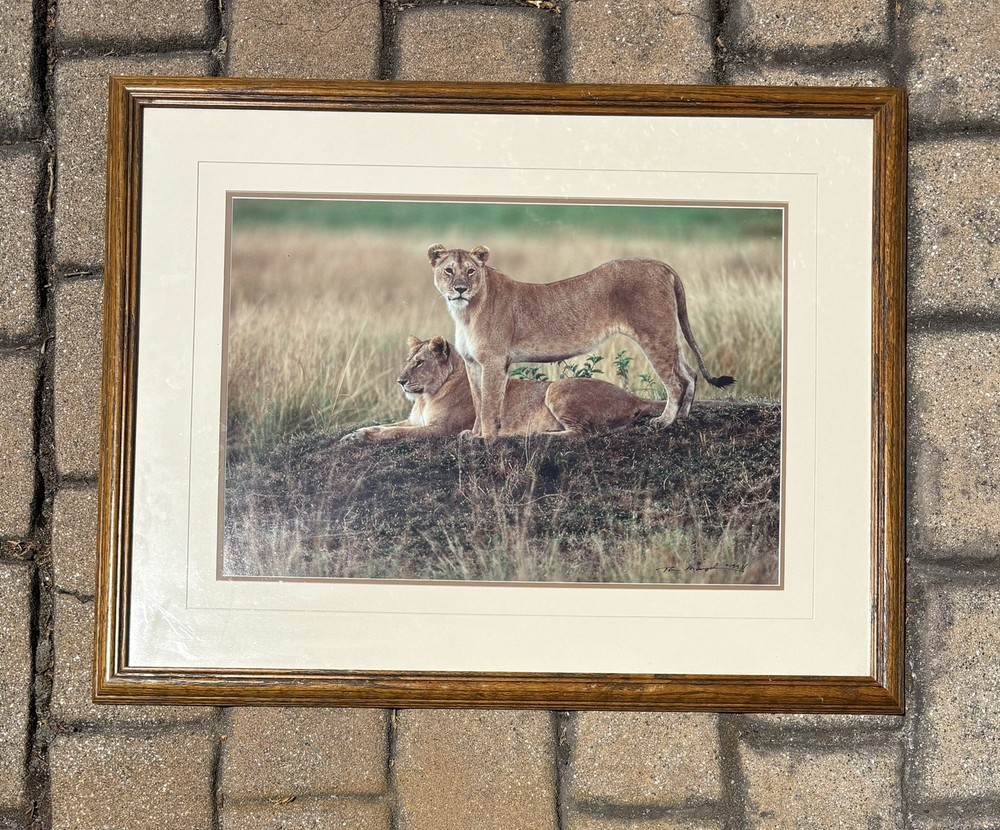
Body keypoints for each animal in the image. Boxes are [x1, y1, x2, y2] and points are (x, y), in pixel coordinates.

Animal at [340, 335, 664, 443]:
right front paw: (355, 434)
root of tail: (632, 395)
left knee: (583, 432)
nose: (401, 381)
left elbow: (395, 433)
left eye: (420, 363)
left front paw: (366, 437)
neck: (426, 397)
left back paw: (535, 434)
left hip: (557, 389)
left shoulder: (441, 429)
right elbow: (386, 426)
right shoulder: (414, 419)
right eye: (408, 360)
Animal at [428, 244, 734, 439]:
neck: (465, 312)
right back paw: (683, 417)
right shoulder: (473, 363)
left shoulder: (493, 360)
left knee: (676, 381)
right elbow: (478, 400)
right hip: (667, 334)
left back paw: (665, 421)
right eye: (448, 270)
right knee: (690, 373)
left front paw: (487, 438)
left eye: (470, 271)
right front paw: (473, 434)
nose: (459, 289)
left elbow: (490, 403)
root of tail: (660, 264)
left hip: (654, 332)